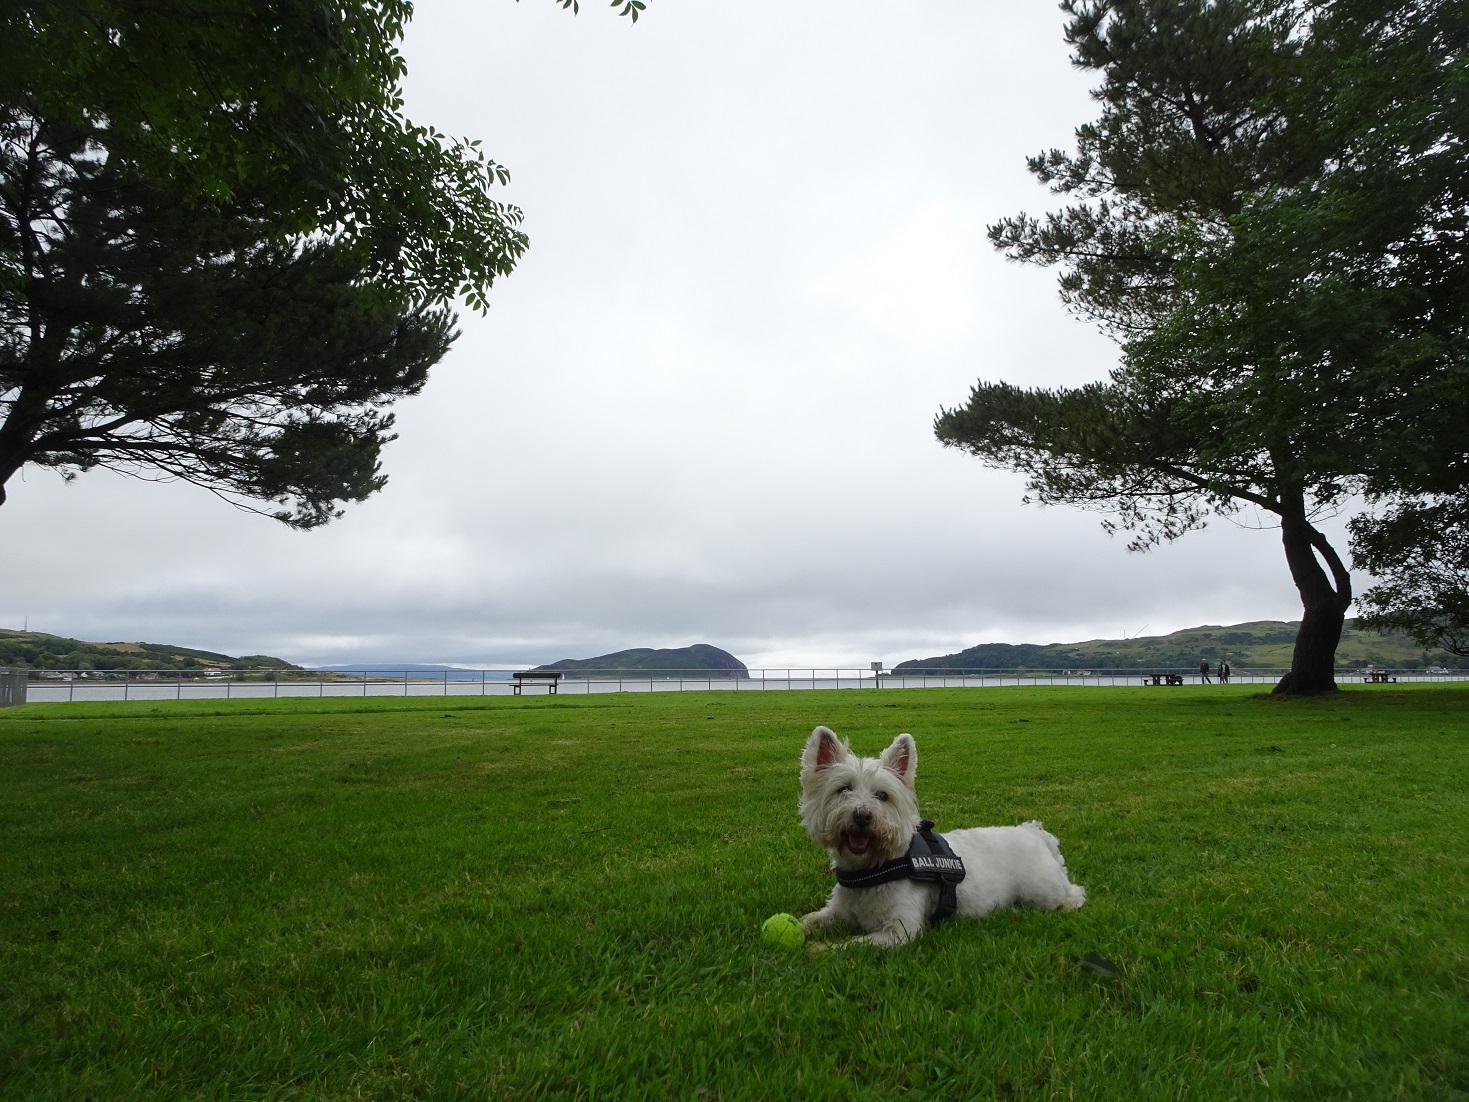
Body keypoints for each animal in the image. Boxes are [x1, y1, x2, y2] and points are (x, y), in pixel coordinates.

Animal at [799, 725, 1087, 952]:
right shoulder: (838, 911)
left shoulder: (900, 929)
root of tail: (1033, 832)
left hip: (1042, 891)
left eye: (883, 795)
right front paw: (798, 929)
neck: (874, 867)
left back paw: (1070, 905)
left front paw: (817, 949)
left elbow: (854, 943)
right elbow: (811, 919)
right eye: (843, 789)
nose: (862, 815)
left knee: (1073, 892)